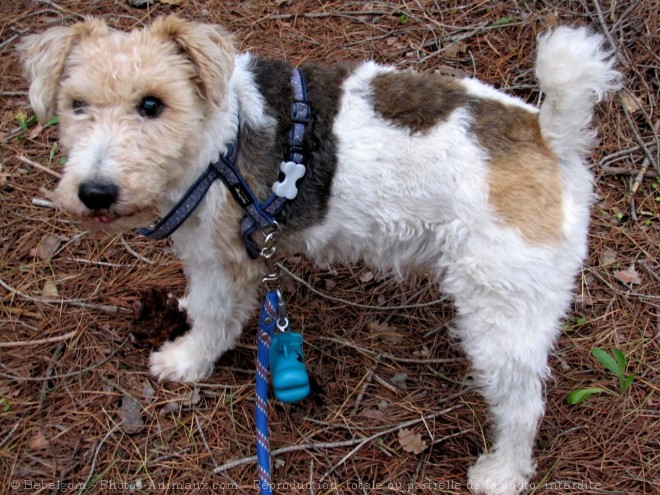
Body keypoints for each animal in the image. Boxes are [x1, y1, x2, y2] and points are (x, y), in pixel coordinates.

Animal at [19, 15, 620, 495]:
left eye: (151, 104)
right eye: (76, 105)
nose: (95, 193)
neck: (217, 135)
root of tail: (549, 134)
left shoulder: (225, 260)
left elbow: (215, 319)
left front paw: (185, 362)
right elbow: (201, 303)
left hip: (500, 306)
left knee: (522, 404)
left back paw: (501, 474)